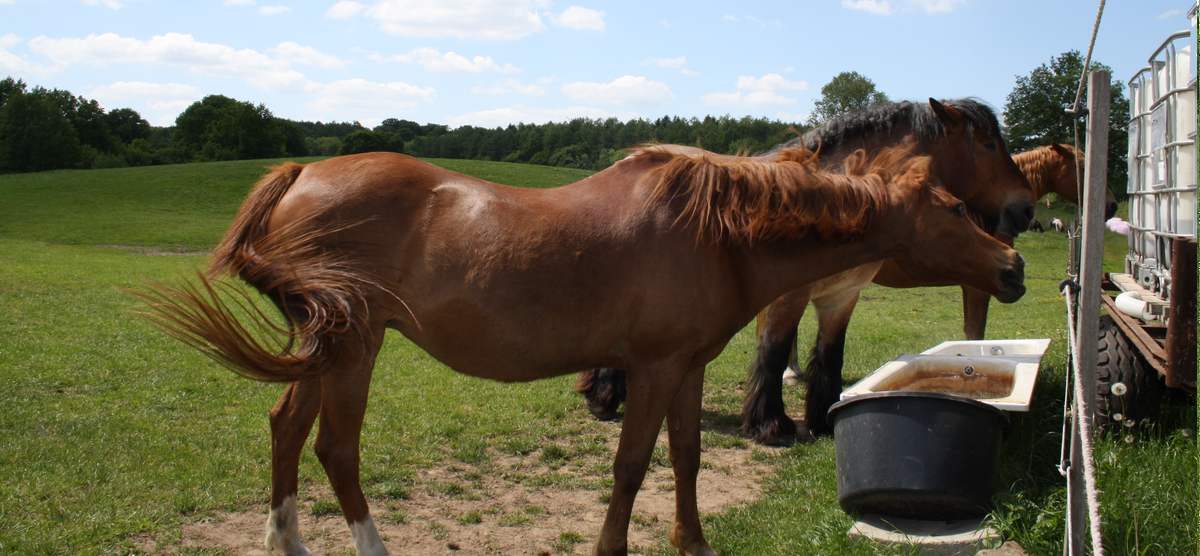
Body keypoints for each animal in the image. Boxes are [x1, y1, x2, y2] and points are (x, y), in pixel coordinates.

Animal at [140, 140, 1022, 556]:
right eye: (952, 207)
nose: (1014, 265)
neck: (718, 231)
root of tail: (303, 173)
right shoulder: (653, 368)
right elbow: (632, 467)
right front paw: (615, 545)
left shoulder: (687, 369)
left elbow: (687, 460)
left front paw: (693, 541)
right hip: (354, 345)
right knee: (336, 449)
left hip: (325, 345)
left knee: (287, 430)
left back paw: (286, 540)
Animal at [571, 97, 1032, 441]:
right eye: (988, 144)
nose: (1025, 209)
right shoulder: (787, 298)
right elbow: (774, 354)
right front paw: (771, 425)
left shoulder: (842, 296)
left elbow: (830, 354)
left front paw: (823, 417)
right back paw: (605, 397)